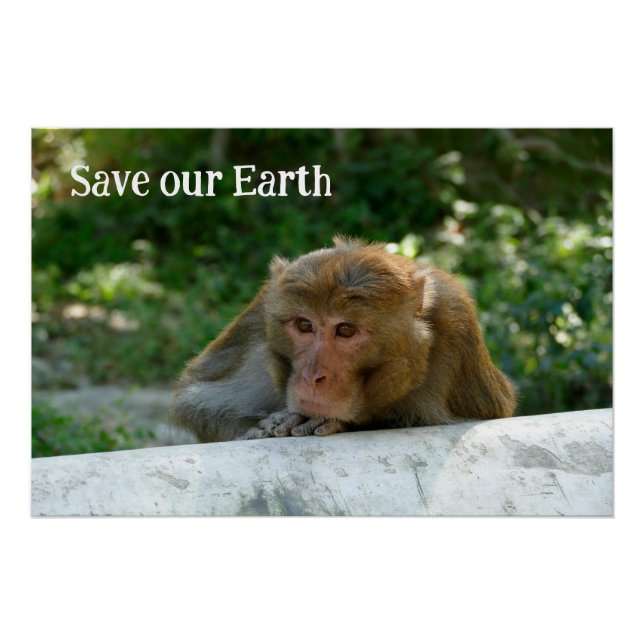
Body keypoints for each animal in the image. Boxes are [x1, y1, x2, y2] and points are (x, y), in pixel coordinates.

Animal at [170, 236, 515, 442]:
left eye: (346, 330)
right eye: (304, 325)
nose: (312, 376)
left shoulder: (455, 320)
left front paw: (344, 422)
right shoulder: (260, 315)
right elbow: (196, 401)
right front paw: (261, 426)